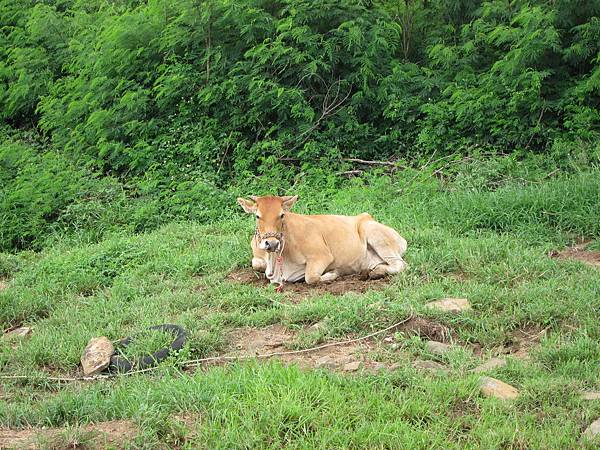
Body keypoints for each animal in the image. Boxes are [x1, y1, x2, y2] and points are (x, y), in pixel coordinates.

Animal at [236, 195, 408, 286]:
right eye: (257, 216)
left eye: (282, 215)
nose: (271, 243)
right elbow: (256, 264)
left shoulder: (322, 255)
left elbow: (310, 277)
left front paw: (333, 273)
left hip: (376, 234)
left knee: (401, 264)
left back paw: (377, 272)